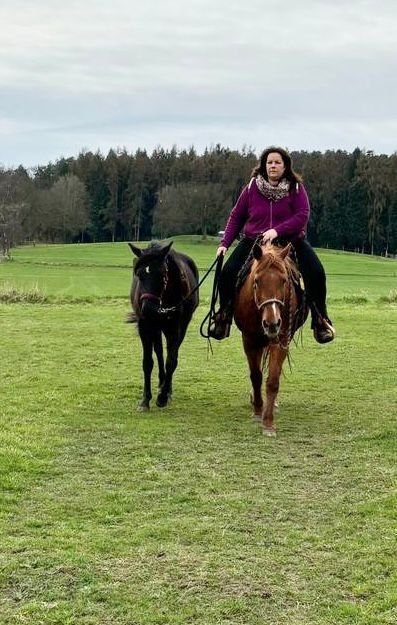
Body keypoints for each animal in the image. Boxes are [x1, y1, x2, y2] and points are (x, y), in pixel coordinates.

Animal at [128, 240, 200, 410]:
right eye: (139, 274)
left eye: (161, 274)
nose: (148, 308)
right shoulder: (145, 326)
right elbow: (148, 362)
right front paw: (145, 400)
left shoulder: (176, 326)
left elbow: (171, 360)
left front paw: (162, 397)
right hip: (156, 326)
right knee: (159, 351)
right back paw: (161, 383)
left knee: (169, 353)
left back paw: (167, 389)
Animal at [234, 241, 308, 436]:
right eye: (256, 281)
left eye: (284, 280)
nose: (272, 323)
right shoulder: (249, 340)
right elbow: (256, 376)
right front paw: (257, 411)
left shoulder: (281, 340)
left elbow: (273, 379)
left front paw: (268, 423)